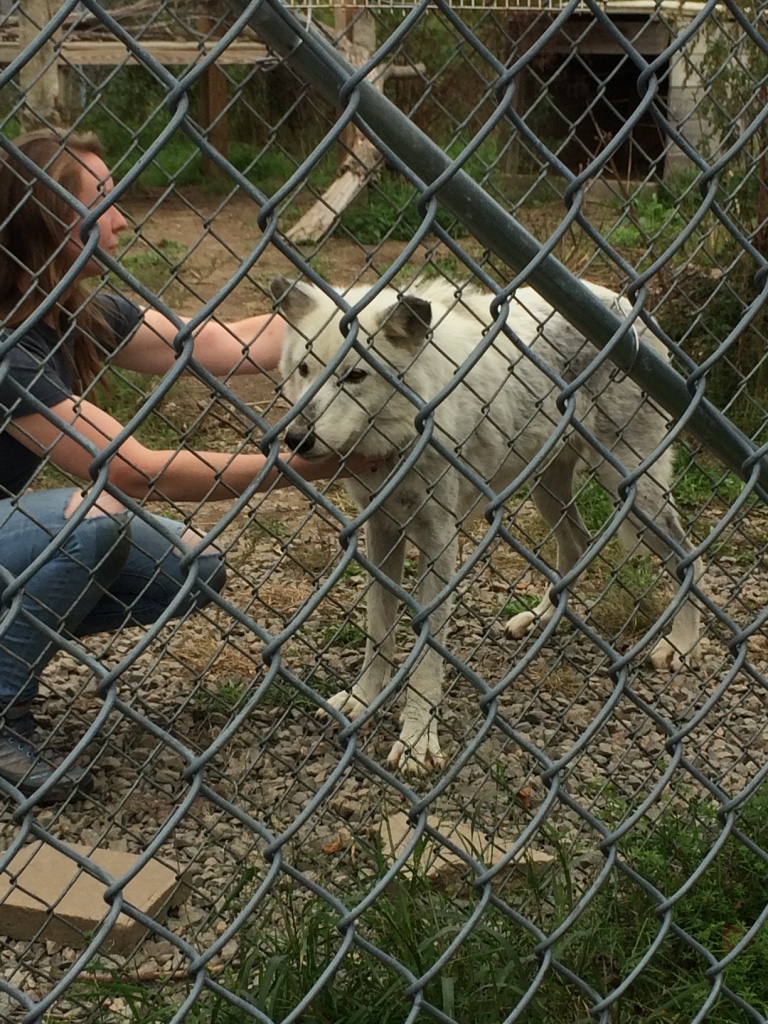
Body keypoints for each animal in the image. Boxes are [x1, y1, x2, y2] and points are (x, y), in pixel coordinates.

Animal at [272, 275, 702, 772]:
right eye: (305, 369)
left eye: (355, 376)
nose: (296, 439)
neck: (409, 432)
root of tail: (623, 304)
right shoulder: (381, 532)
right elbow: (377, 633)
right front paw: (363, 701)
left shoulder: (440, 544)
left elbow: (426, 660)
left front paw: (418, 742)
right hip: (548, 489)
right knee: (576, 545)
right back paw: (538, 620)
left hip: (632, 492)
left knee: (689, 559)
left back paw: (681, 645)